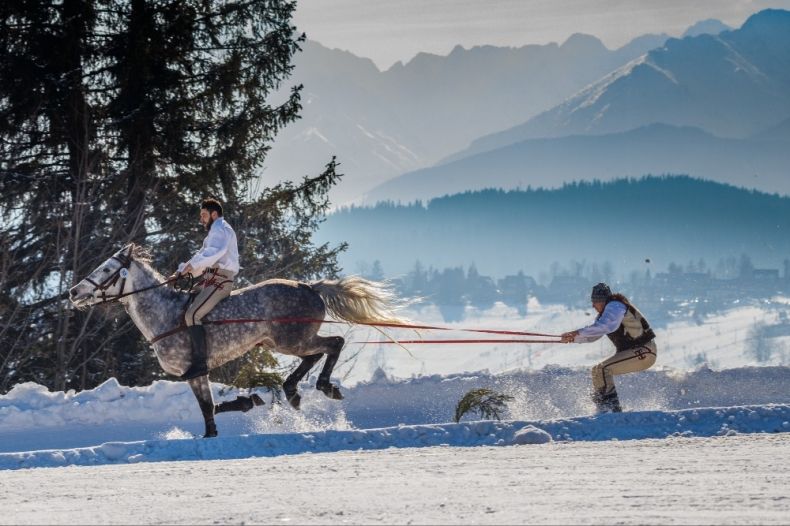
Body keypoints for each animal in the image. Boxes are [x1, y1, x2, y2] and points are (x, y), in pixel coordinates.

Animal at [66, 245, 408, 440]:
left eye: (107, 269)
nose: (73, 292)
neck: (165, 315)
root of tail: (308, 286)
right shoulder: (195, 374)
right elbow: (212, 406)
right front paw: (246, 404)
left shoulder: (195, 371)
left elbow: (208, 407)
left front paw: (214, 432)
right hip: (282, 341)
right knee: (314, 355)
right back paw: (293, 392)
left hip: (293, 339)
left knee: (334, 343)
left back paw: (325, 387)